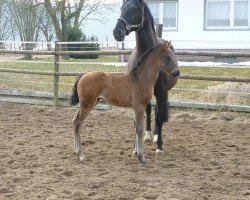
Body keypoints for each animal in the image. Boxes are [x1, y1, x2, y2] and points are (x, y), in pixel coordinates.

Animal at [112, 0, 179, 153]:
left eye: (135, 9)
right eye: (121, 8)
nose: (117, 32)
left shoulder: (160, 92)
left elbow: (159, 117)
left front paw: (159, 145)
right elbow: (138, 118)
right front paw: (135, 147)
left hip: (162, 93)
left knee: (158, 111)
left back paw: (155, 136)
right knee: (148, 110)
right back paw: (148, 135)